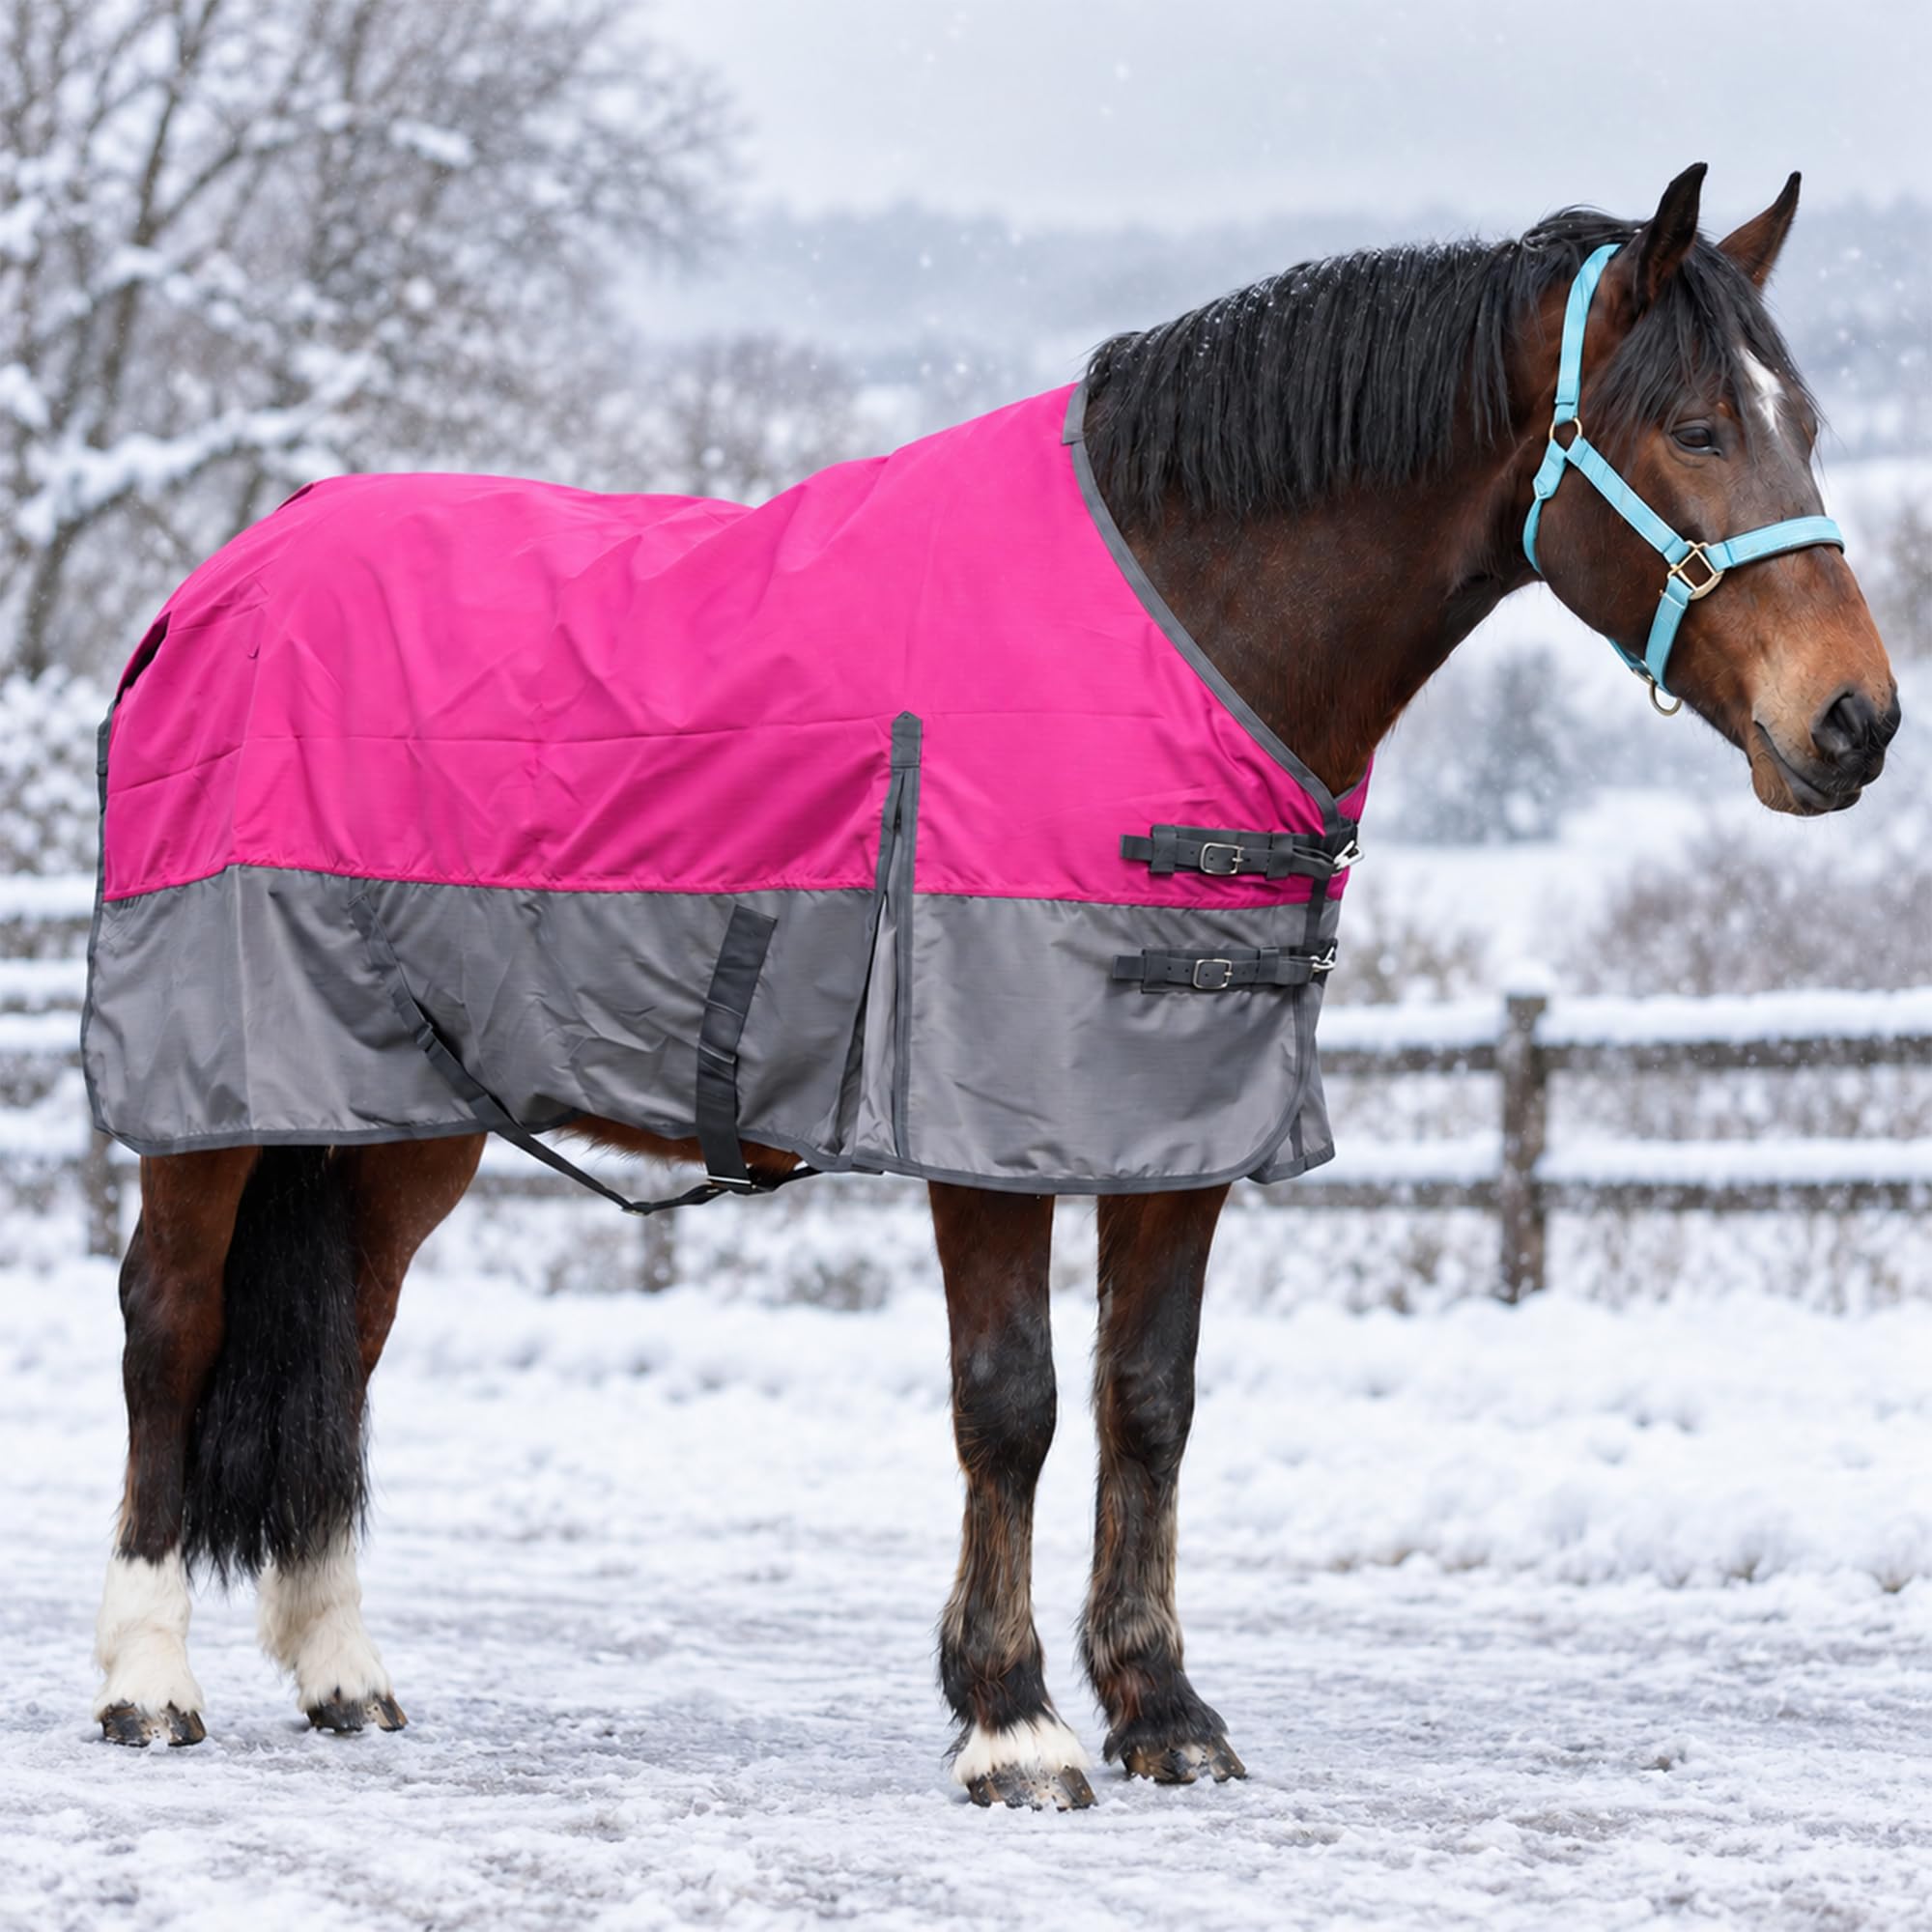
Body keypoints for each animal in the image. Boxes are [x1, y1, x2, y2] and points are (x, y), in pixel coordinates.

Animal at [86, 164, 1897, 1809]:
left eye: (1803, 421)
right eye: (1693, 428)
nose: (1856, 721)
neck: (1179, 635)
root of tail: (218, 584)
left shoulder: (1177, 1124)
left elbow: (1149, 1404)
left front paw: (1163, 1711)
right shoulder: (983, 1123)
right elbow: (1011, 1404)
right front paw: (1013, 1722)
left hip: (397, 1119)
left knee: (344, 1349)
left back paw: (343, 1673)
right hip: (214, 1104)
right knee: (171, 1327)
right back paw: (148, 1684)